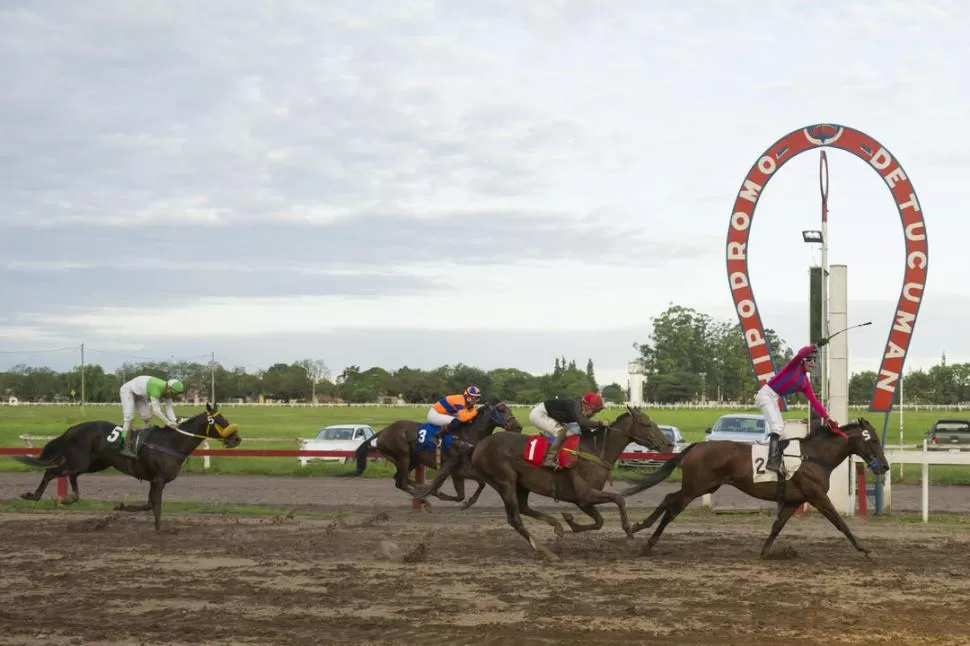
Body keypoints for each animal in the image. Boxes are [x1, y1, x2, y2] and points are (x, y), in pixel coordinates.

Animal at [15, 404, 242, 532]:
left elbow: (149, 505)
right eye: (220, 420)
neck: (172, 442)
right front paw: (159, 530)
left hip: (93, 463)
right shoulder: (159, 480)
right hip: (80, 460)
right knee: (52, 471)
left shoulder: (154, 481)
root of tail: (73, 428)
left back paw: (71, 497)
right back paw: (32, 495)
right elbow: (156, 506)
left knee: (72, 475)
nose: (236, 439)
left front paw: (120, 506)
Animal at [340, 400, 520, 512]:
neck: (466, 434)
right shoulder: (451, 466)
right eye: (502, 409)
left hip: (412, 459)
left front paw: (466, 502)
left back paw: (422, 490)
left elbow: (469, 490)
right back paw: (424, 499)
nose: (518, 426)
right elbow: (441, 484)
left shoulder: (458, 470)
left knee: (399, 480)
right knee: (402, 482)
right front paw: (431, 494)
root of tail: (383, 431)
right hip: (403, 456)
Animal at [466, 410, 676, 560]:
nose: (669, 445)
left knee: (524, 508)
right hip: (505, 481)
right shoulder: (585, 495)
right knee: (515, 519)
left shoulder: (583, 501)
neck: (595, 451)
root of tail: (479, 446)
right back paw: (546, 552)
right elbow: (619, 499)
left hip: (522, 483)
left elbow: (600, 521)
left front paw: (570, 521)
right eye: (646, 424)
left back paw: (557, 527)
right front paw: (629, 532)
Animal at [624, 418, 888, 560]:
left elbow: (777, 526)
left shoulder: (794, 500)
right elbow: (840, 523)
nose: (884, 466)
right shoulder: (817, 496)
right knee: (671, 504)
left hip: (704, 485)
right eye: (874, 440)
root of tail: (697, 446)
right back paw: (645, 537)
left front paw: (765, 551)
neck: (814, 456)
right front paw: (864, 549)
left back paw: (640, 529)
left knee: (669, 499)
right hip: (696, 487)